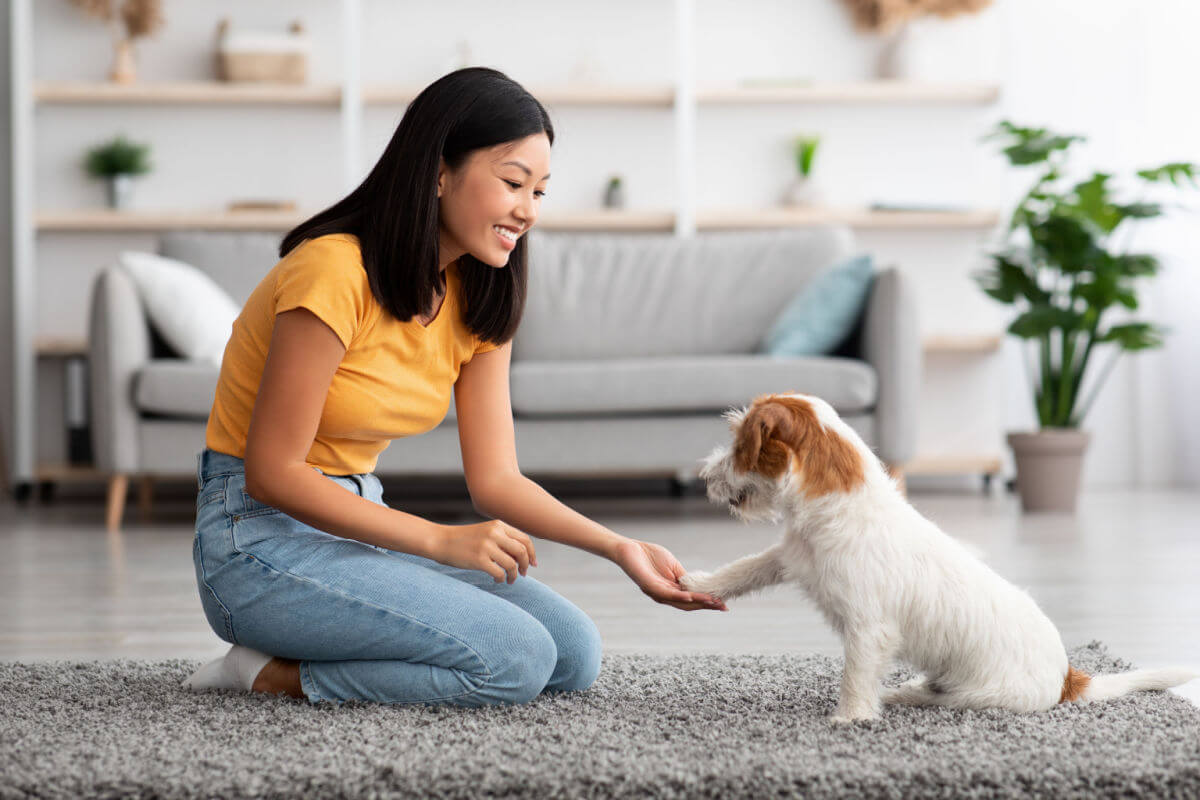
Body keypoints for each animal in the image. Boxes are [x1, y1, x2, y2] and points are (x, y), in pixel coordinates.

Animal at [681, 393, 1195, 724]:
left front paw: (850, 719)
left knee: (937, 700)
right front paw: (697, 584)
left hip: (977, 695)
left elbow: (855, 675)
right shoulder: (789, 556)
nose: (702, 477)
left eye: (739, 445)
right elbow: (745, 568)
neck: (842, 502)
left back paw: (899, 694)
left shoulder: (868, 628)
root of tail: (1070, 675)